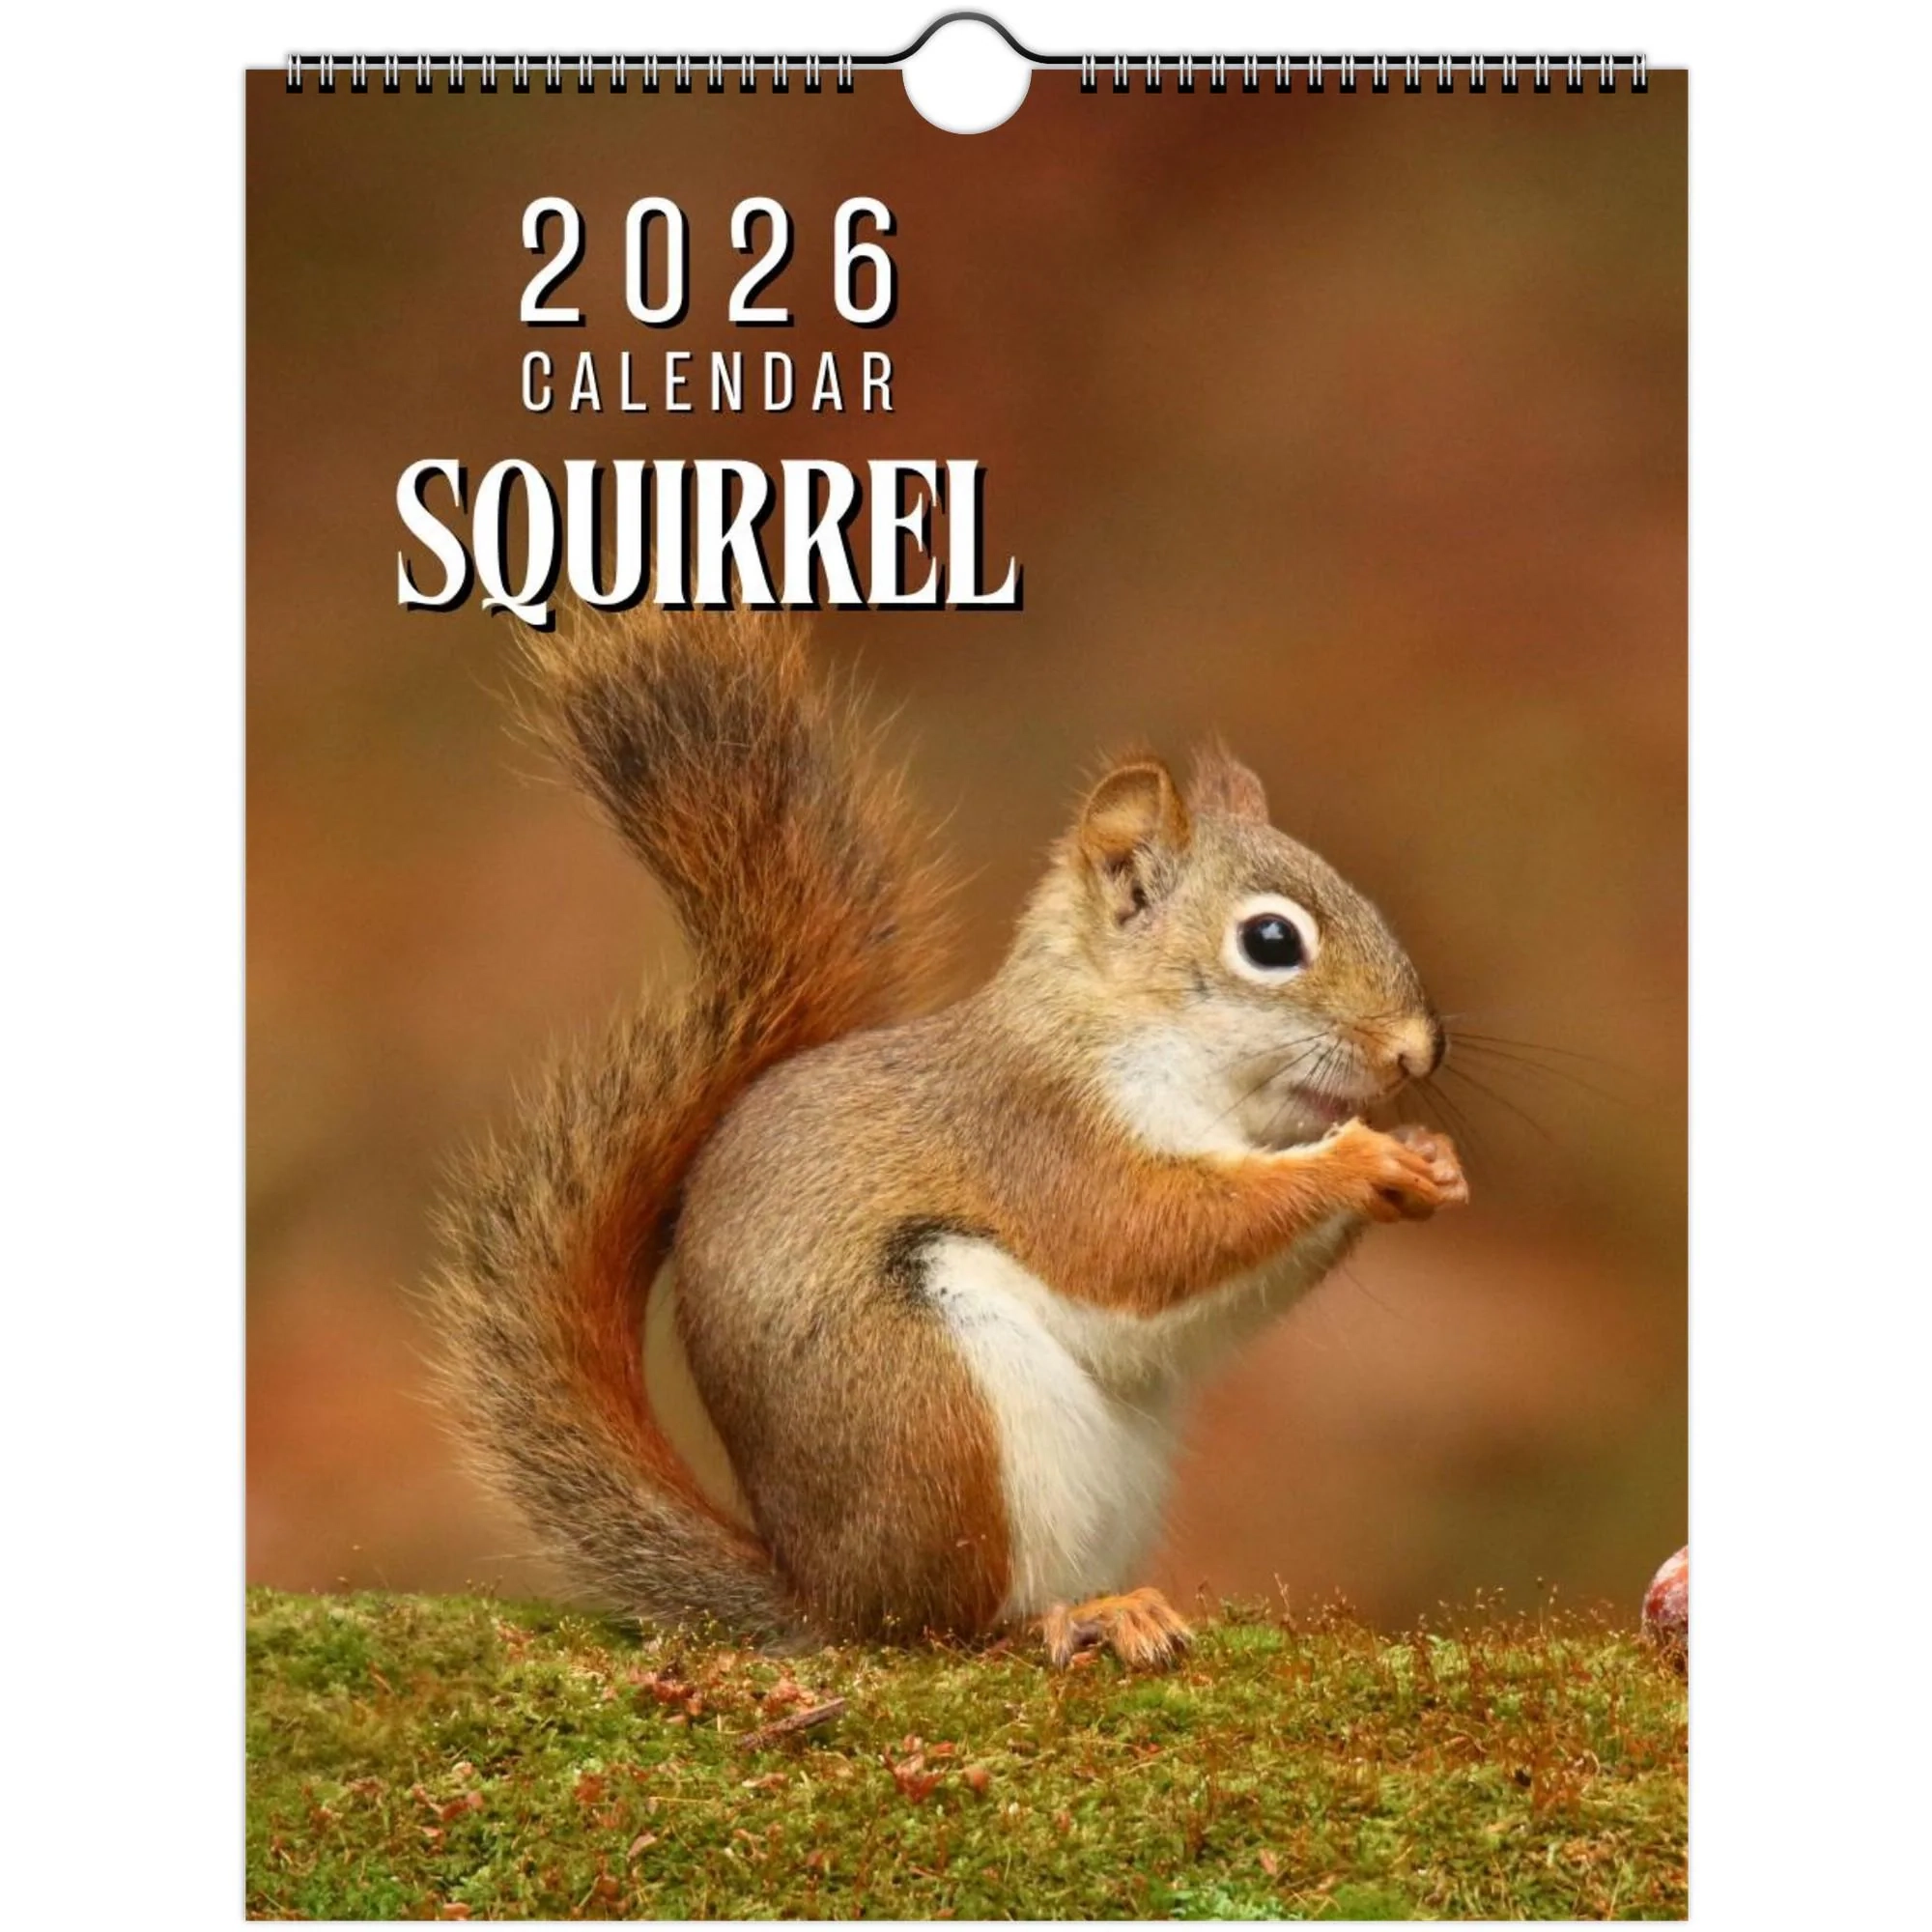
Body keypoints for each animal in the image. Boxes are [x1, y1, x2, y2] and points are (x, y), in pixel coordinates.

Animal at [429, 605, 1468, 1669]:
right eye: (1270, 942)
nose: (1416, 1050)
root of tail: (823, 1598)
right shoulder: (1042, 1139)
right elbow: (1145, 1239)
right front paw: (1360, 1159)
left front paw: (1430, 1161)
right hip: (936, 1412)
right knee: (948, 1626)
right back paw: (1075, 1618)